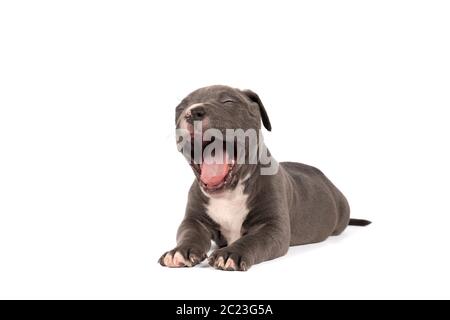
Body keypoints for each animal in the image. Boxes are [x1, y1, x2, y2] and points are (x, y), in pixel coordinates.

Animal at [160, 84, 370, 270]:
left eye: (228, 101)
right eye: (181, 108)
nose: (193, 112)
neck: (229, 193)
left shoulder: (273, 228)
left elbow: (252, 239)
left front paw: (231, 254)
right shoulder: (194, 220)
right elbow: (189, 233)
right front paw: (180, 251)